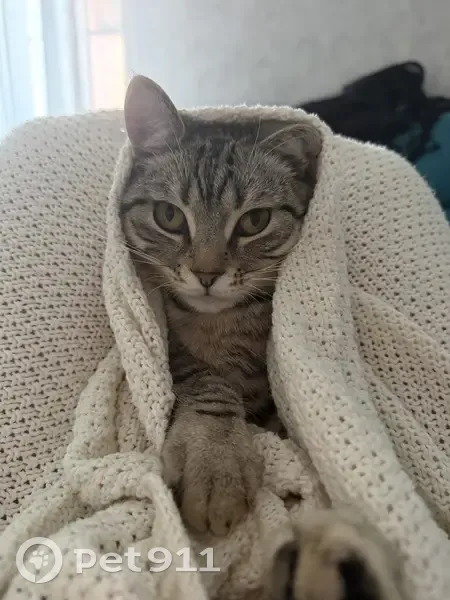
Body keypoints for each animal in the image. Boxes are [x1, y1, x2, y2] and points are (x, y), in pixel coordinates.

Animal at [120, 75, 411, 600]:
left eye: (254, 222)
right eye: (168, 216)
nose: (207, 274)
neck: (219, 327)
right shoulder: (175, 350)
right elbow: (205, 381)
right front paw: (215, 456)